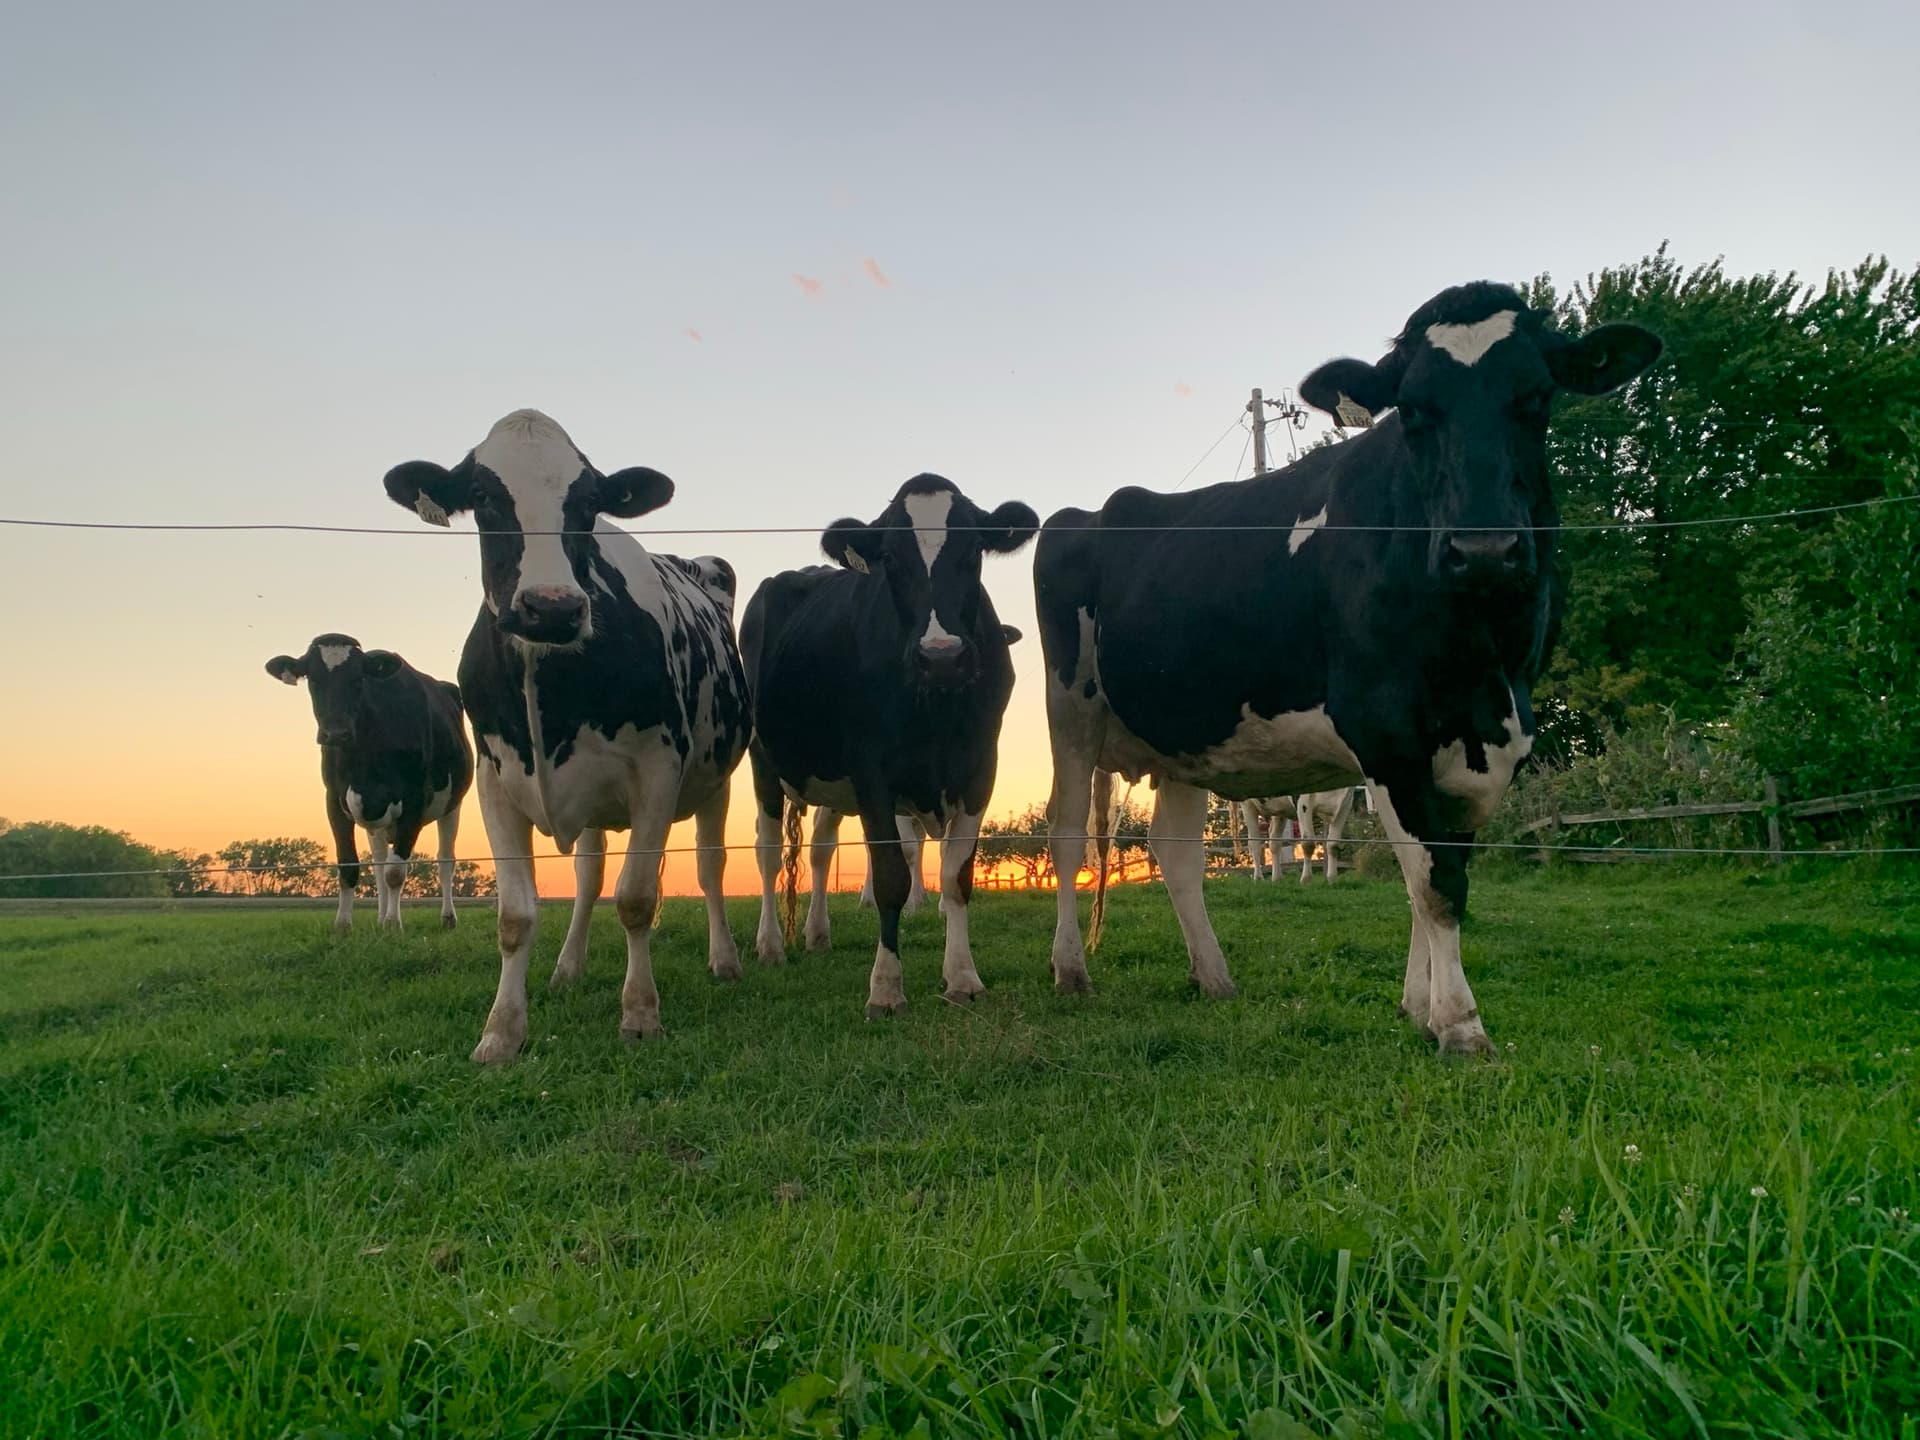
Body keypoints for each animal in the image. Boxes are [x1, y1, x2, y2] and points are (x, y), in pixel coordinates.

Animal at [266, 635, 474, 931]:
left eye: (358, 680)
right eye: (313, 680)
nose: (335, 733)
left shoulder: (415, 799)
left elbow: (396, 872)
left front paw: (393, 925)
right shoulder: (334, 799)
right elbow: (350, 865)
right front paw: (343, 925)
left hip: (452, 805)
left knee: (445, 860)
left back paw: (446, 918)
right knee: (378, 863)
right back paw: (380, 915)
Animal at [381, 409, 751, 1063]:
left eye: (588, 502)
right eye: (483, 497)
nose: (550, 606)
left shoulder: (658, 770)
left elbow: (636, 898)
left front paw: (640, 1014)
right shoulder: (496, 779)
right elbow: (516, 915)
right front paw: (501, 1032)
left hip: (716, 782)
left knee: (709, 867)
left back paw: (725, 959)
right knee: (587, 878)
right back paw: (567, 968)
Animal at [742, 474, 1038, 1015]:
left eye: (973, 551)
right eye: (890, 560)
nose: (941, 657)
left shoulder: (980, 767)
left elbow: (957, 876)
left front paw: (962, 977)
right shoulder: (872, 771)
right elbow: (890, 877)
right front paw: (885, 988)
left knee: (820, 850)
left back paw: (817, 935)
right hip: (763, 759)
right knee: (768, 851)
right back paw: (770, 945)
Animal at [1035, 281, 1659, 1052]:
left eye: (1537, 397)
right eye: (1413, 409)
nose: (1484, 550)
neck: (1485, 666)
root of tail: (1093, 510)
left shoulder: (1488, 744)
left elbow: (1435, 874)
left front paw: (1419, 1007)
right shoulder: (1386, 728)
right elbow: (1436, 883)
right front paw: (1460, 1024)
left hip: (1183, 732)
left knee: (1175, 852)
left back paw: (1213, 977)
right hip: (1071, 705)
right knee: (1066, 834)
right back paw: (1070, 970)